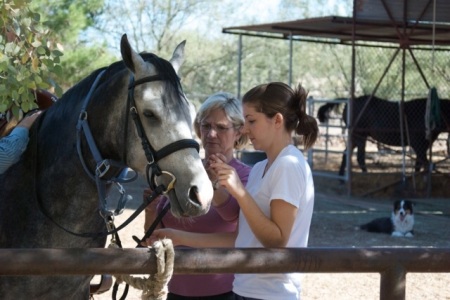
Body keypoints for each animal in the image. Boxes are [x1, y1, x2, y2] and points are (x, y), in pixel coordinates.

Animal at [318, 96, 450, 176]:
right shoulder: (419, 145)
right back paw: (366, 175)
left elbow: (419, 163)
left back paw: (341, 178)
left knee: (346, 153)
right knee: (360, 157)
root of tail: (351, 100)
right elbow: (425, 163)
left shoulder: (423, 146)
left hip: (355, 137)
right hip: (360, 136)